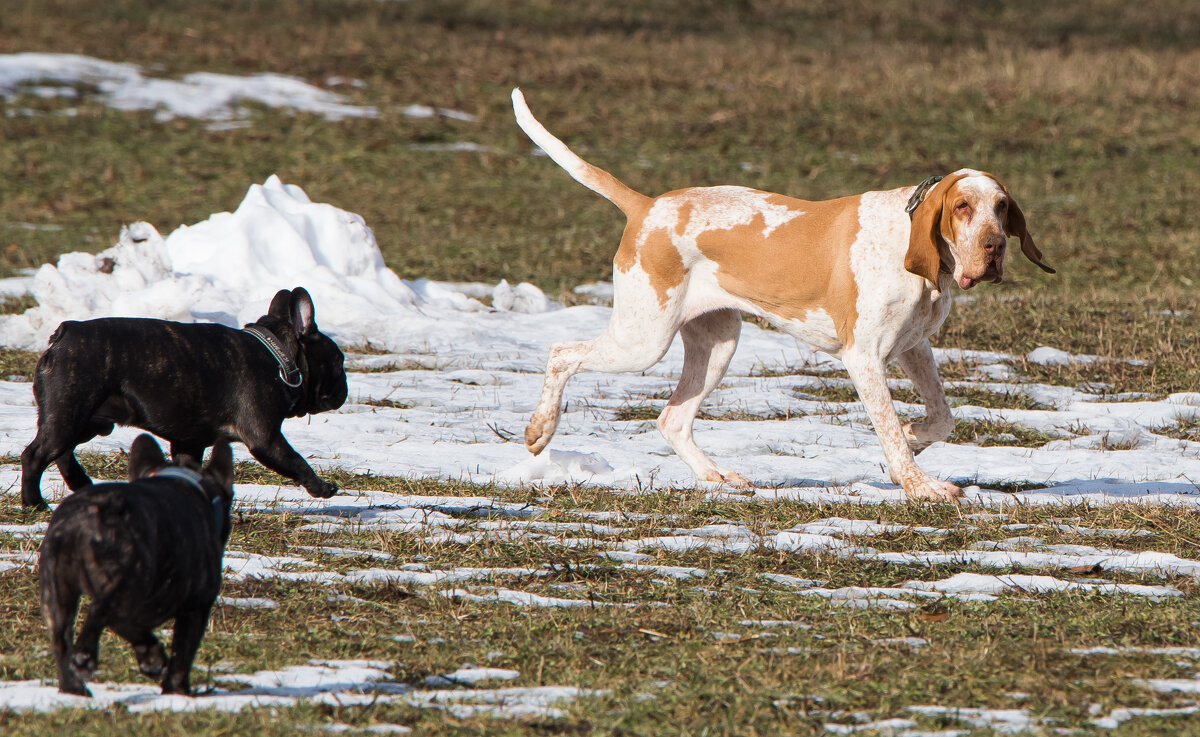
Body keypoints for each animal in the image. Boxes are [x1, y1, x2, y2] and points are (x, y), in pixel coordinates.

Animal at [21, 285, 350, 511]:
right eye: (338, 361)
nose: (344, 386)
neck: (277, 356)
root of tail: (64, 333)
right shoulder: (265, 438)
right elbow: (296, 460)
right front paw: (322, 488)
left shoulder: (188, 444)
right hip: (70, 411)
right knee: (36, 454)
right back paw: (34, 503)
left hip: (88, 420)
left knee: (62, 452)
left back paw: (79, 483)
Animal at [39, 432, 234, 700]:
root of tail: (83, 519)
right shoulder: (196, 605)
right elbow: (182, 654)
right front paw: (177, 691)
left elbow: (131, 626)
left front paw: (152, 657)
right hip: (128, 575)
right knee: (100, 611)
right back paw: (85, 659)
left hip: (57, 589)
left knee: (62, 636)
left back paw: (74, 689)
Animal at [511, 85, 1056, 501]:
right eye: (963, 207)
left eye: (1001, 207)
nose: (994, 248)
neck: (917, 251)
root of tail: (646, 206)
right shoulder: (865, 358)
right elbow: (889, 431)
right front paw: (921, 485)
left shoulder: (913, 347)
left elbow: (941, 418)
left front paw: (914, 437)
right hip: (643, 340)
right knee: (562, 354)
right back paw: (540, 431)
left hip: (717, 343)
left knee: (672, 419)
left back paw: (715, 476)